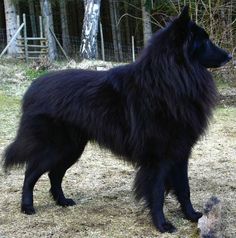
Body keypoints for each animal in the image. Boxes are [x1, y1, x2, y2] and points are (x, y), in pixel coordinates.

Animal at [2, 5, 231, 232]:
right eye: (205, 40)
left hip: (71, 149)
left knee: (53, 174)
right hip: (56, 147)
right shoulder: (158, 158)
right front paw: (162, 225)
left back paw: (63, 201)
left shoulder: (180, 152)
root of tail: (32, 88)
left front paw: (192, 215)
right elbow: (157, 193)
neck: (168, 79)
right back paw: (27, 207)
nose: (229, 56)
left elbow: (184, 188)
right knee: (30, 172)